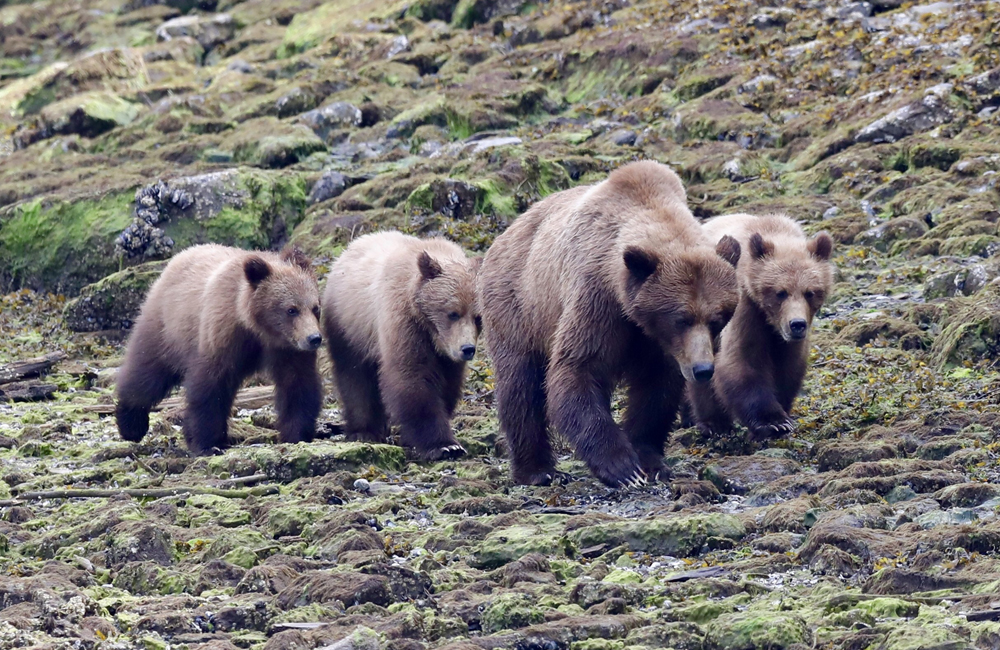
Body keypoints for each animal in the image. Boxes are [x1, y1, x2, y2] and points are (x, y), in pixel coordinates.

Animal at [115, 246, 322, 454]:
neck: (258, 328)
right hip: (166, 330)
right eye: (291, 309)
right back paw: (131, 424)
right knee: (148, 374)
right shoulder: (222, 336)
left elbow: (297, 384)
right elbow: (210, 387)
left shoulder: (287, 349)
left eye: (315, 308)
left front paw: (297, 434)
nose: (314, 338)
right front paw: (207, 443)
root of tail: (178, 257)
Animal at [318, 230, 478, 458]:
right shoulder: (403, 320)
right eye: (453, 313)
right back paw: (364, 430)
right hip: (351, 327)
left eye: (478, 317)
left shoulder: (447, 354)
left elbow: (448, 383)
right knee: (354, 376)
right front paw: (444, 445)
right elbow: (412, 376)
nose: (467, 349)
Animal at [476, 161, 744, 486]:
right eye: (682, 318)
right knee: (520, 387)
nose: (703, 369)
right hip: (519, 306)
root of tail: (503, 235)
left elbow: (656, 388)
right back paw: (537, 470)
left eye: (716, 319)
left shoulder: (656, 341)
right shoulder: (597, 300)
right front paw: (623, 467)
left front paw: (649, 459)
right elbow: (578, 368)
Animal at [688, 213, 836, 440]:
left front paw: (783, 412)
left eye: (810, 292)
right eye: (780, 292)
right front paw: (773, 422)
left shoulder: (787, 342)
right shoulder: (746, 308)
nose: (797, 324)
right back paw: (713, 423)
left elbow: (788, 367)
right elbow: (743, 361)